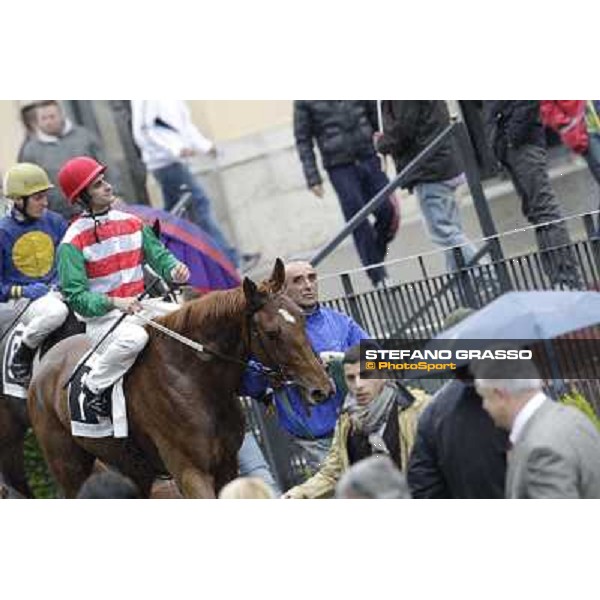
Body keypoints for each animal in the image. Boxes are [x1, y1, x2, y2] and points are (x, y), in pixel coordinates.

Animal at [29, 260, 332, 500]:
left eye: (302, 318)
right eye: (271, 333)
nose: (323, 389)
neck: (193, 378)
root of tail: (45, 364)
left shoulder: (227, 464)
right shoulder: (189, 471)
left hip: (133, 469)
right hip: (69, 467)